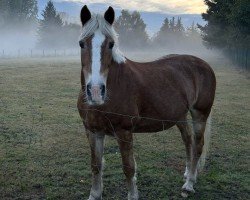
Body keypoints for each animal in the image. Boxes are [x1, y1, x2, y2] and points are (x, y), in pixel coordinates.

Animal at [77, 4, 216, 200]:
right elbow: (96, 165)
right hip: (180, 115)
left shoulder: (124, 131)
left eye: (111, 44)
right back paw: (189, 174)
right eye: (82, 43)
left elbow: (128, 168)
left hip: (200, 114)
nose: (96, 91)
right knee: (188, 141)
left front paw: (133, 195)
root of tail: (204, 64)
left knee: (198, 145)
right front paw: (95, 194)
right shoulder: (93, 131)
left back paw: (188, 184)